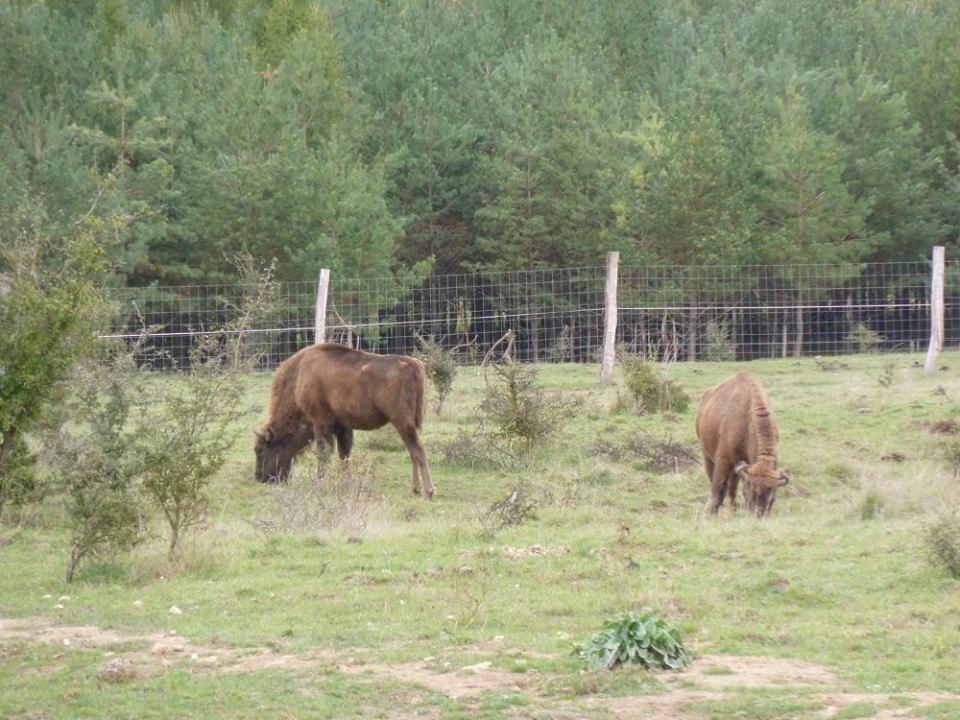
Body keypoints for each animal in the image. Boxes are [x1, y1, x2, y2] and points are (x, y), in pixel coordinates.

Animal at [255, 342, 436, 496]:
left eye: (261, 450)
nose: (260, 479)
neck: (299, 377)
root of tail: (412, 364)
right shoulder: (342, 426)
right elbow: (344, 453)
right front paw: (346, 482)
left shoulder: (321, 422)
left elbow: (323, 452)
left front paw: (319, 482)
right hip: (411, 423)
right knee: (412, 450)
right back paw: (416, 489)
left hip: (401, 421)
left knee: (418, 449)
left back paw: (429, 491)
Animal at [696, 372, 788, 516]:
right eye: (753, 493)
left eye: (773, 499)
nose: (759, 515)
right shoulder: (723, 460)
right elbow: (718, 489)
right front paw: (711, 513)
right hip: (707, 455)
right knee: (715, 480)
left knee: (732, 488)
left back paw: (733, 510)